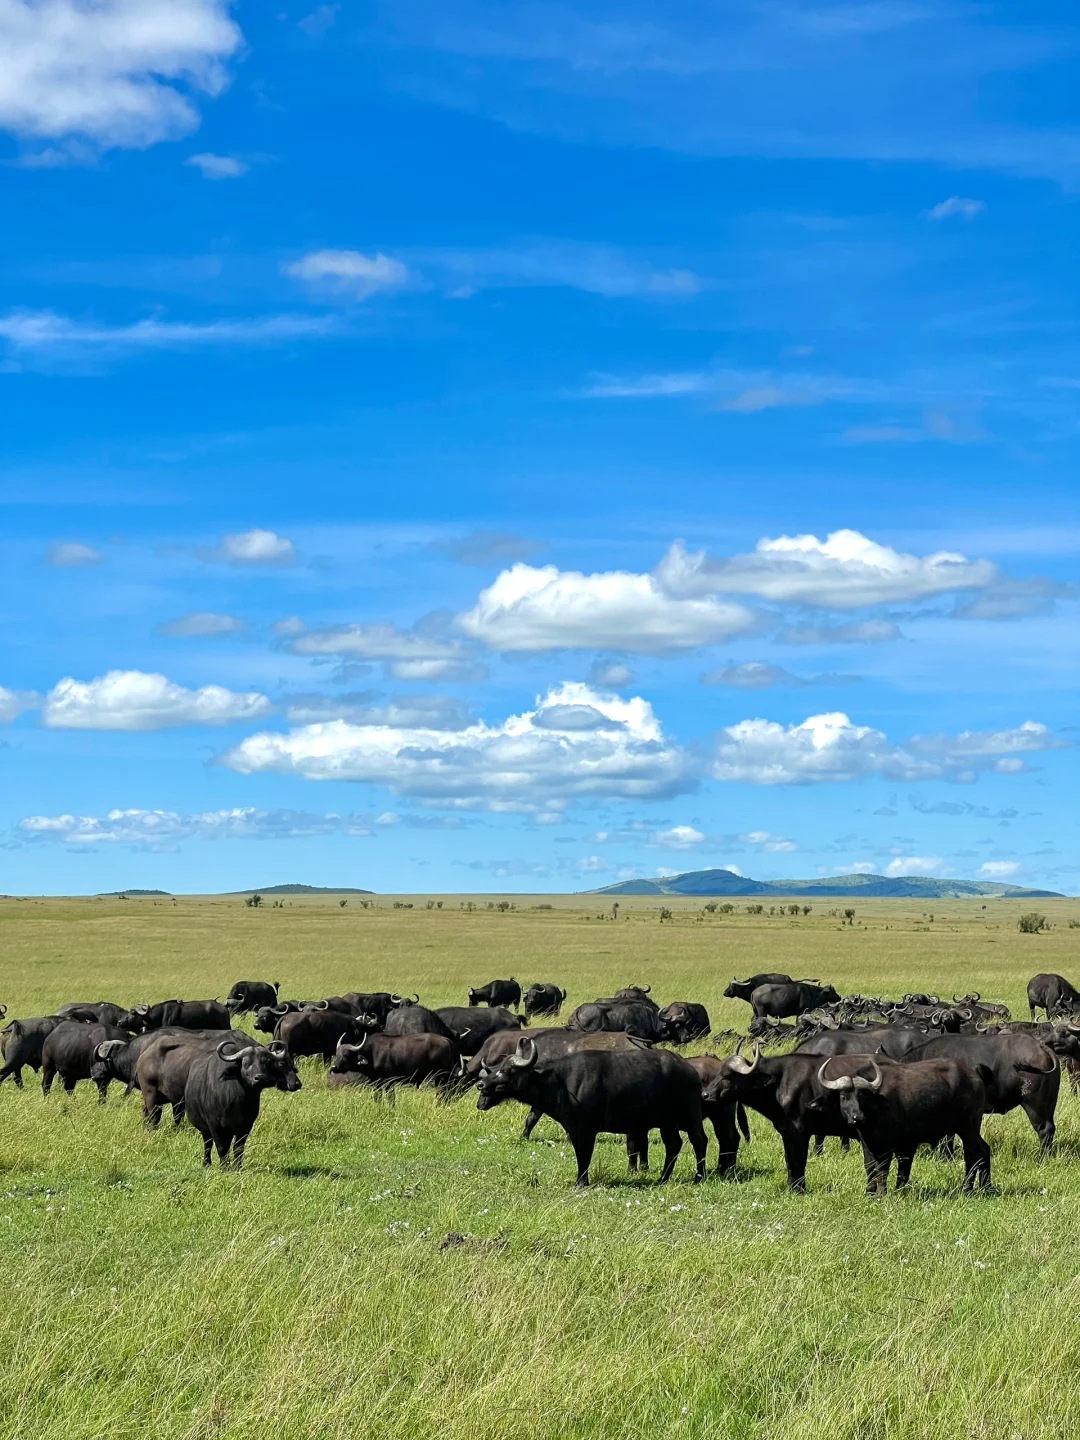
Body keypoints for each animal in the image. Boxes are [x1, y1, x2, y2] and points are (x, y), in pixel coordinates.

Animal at [182, 1036, 298, 1169]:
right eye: (246, 1064)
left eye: (265, 1063)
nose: (260, 1078)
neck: (237, 1102)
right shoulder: (215, 1125)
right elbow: (221, 1148)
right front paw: (225, 1167)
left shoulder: (245, 1126)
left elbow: (238, 1148)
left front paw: (238, 1167)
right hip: (204, 1128)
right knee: (208, 1144)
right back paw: (206, 1163)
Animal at [478, 1042, 705, 1186]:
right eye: (496, 1067)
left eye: (508, 1070)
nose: (481, 1084)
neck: (560, 1083)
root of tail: (690, 1071)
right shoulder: (573, 1130)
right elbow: (580, 1155)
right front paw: (580, 1180)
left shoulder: (588, 1130)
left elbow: (585, 1155)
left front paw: (581, 1183)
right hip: (667, 1122)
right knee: (674, 1145)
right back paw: (663, 1178)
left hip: (690, 1116)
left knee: (699, 1140)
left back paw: (699, 1177)